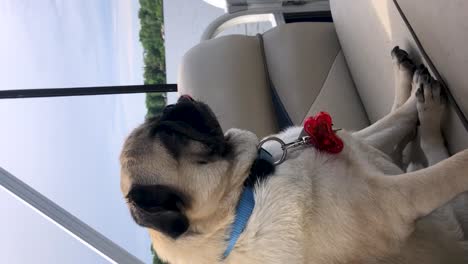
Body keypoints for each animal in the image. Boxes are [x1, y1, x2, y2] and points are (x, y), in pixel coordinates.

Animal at [119, 48, 468, 264]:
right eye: (171, 136)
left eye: (163, 119)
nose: (180, 102)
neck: (249, 187)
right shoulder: (395, 200)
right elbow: (453, 167)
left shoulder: (341, 142)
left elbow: (397, 119)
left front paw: (414, 96)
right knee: (435, 152)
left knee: (401, 125)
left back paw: (418, 91)